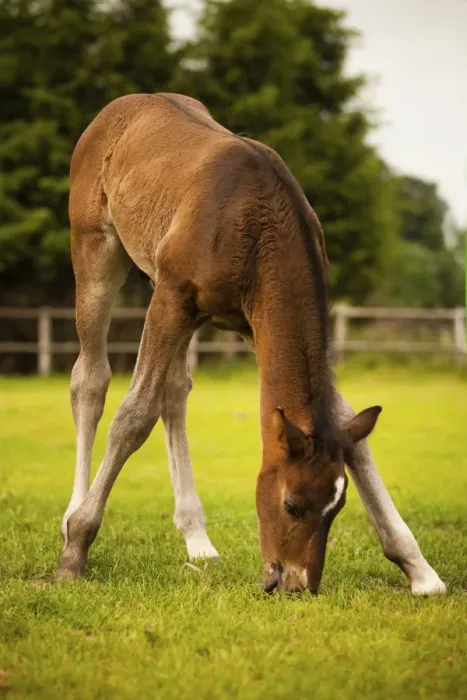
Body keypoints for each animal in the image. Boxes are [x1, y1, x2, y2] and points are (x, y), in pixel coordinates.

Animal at [57, 93, 445, 595]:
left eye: (337, 508)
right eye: (292, 504)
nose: (296, 584)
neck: (254, 220)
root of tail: (120, 106)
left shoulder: (249, 319)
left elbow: (345, 423)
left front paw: (419, 569)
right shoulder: (172, 297)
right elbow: (133, 415)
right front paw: (76, 550)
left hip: (174, 296)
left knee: (175, 390)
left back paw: (198, 539)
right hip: (98, 252)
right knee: (90, 380)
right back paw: (71, 517)